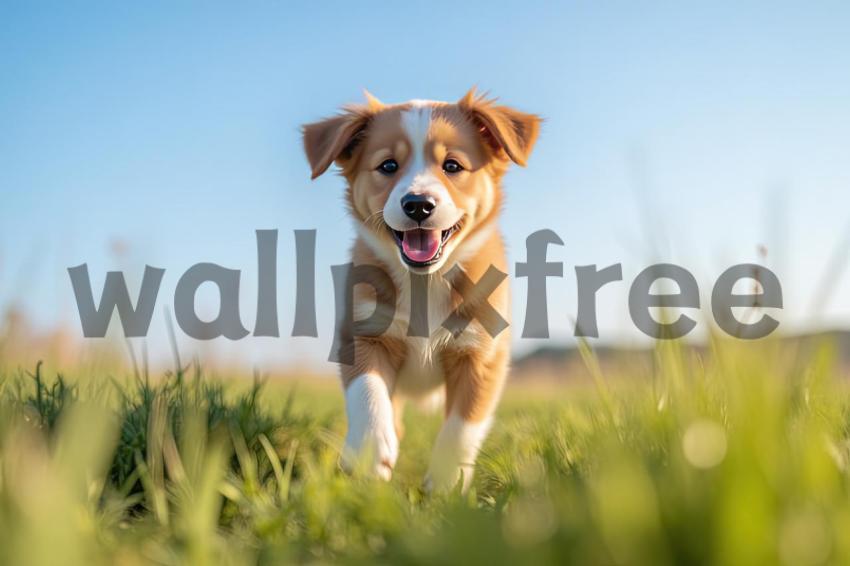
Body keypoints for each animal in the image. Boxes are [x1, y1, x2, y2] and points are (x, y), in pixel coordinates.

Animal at [302, 90, 540, 492]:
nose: (418, 205)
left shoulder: (482, 354)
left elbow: (462, 425)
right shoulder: (362, 333)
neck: (425, 282)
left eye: (453, 166)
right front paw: (370, 453)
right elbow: (367, 391)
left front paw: (445, 484)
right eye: (388, 165)